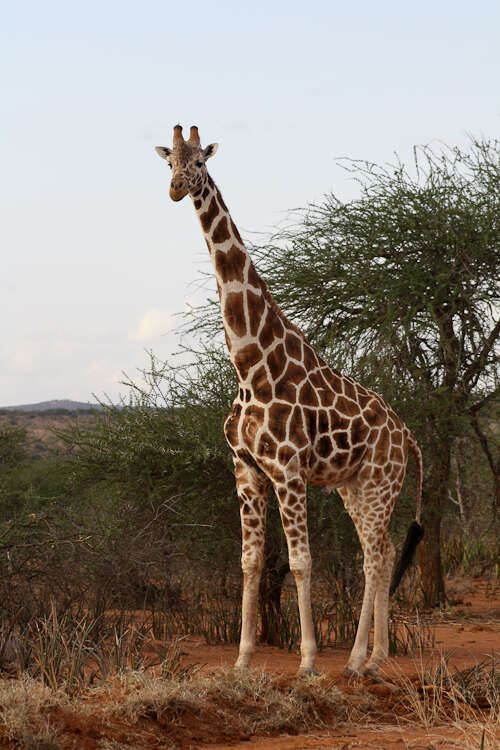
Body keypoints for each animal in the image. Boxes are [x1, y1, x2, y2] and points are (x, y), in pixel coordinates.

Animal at [155, 125, 422, 680]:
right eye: (169, 161)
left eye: (200, 162)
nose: (175, 189)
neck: (250, 364)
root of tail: (406, 433)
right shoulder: (246, 469)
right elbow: (250, 561)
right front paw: (241, 659)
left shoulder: (288, 469)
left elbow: (301, 562)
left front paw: (307, 662)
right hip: (354, 487)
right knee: (384, 552)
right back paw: (376, 656)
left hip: (381, 482)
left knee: (372, 555)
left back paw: (358, 659)